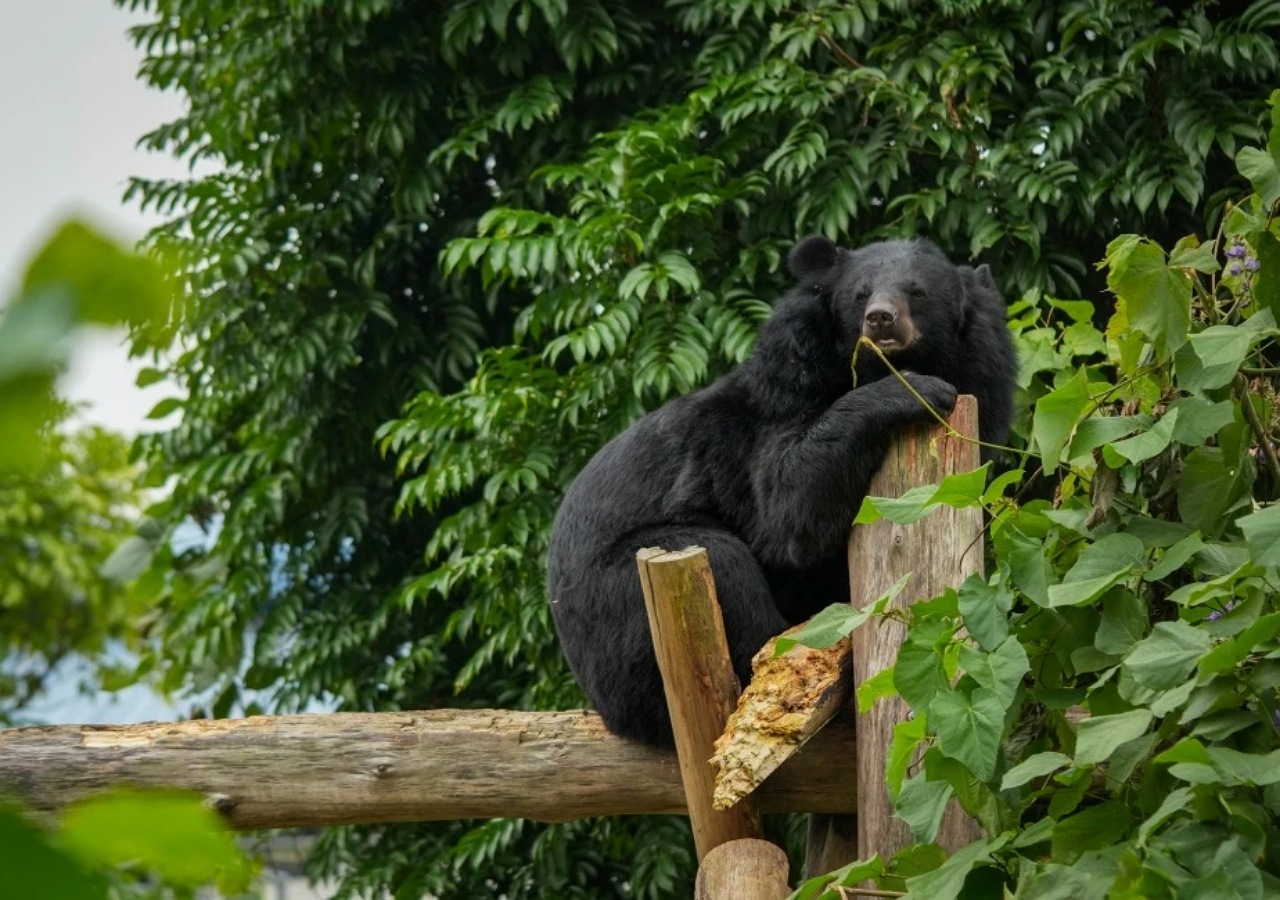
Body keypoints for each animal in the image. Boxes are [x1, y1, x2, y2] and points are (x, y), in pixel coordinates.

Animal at [547, 235, 1016, 747]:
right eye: (860, 295)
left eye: (917, 292)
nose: (880, 319)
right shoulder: (779, 392)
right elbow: (788, 506)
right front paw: (918, 389)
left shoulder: (984, 379)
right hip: (618, 599)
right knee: (722, 561)